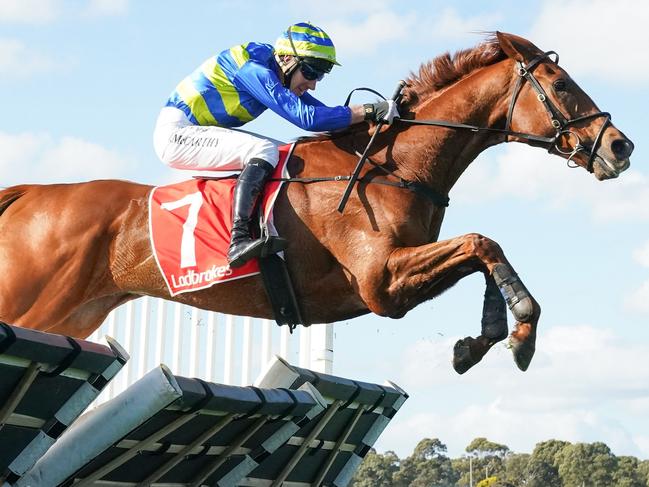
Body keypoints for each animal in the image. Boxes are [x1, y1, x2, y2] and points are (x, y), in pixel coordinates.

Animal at [0, 33, 632, 374]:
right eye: (563, 85)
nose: (620, 146)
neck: (391, 166)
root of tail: (30, 194)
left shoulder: (396, 276)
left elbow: (482, 250)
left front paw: (481, 339)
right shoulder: (380, 283)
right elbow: (484, 242)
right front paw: (520, 330)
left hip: (74, 315)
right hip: (30, 305)